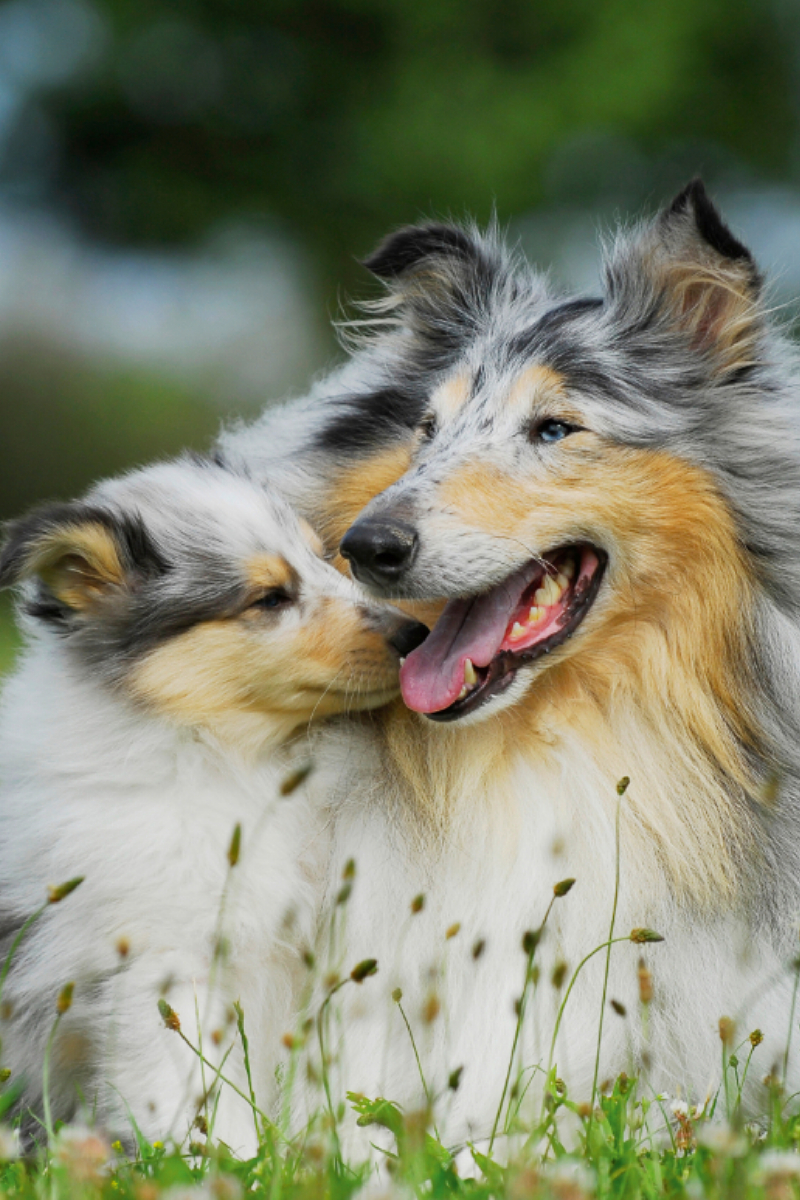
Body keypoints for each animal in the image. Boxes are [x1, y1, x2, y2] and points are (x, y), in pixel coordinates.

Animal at [0, 453, 424, 1147]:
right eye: (270, 598)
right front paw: (221, 1161)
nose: (415, 633)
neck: (229, 757)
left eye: (326, 559)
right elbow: (193, 1095)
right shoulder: (163, 962)